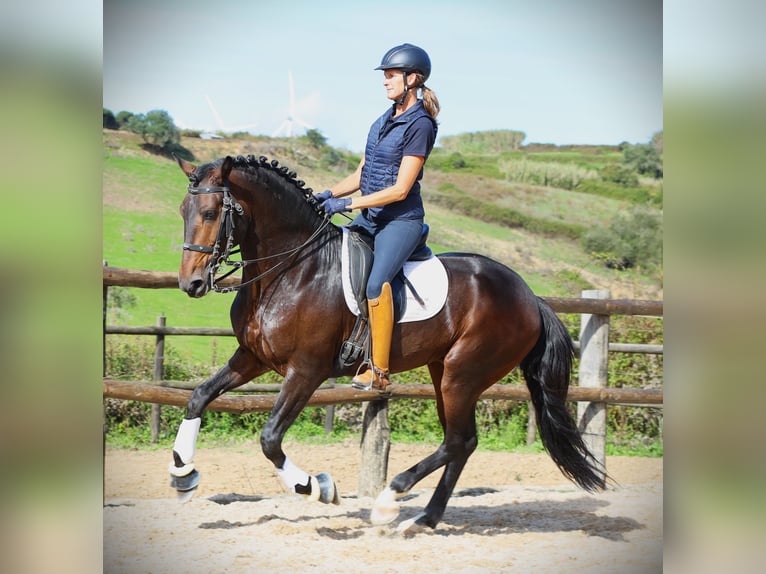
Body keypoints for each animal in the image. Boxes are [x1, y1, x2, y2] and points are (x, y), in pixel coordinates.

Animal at [168, 154, 608, 536]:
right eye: (183, 211)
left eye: (210, 214)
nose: (191, 284)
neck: (291, 270)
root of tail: (529, 296)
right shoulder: (252, 358)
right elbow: (199, 396)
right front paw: (183, 473)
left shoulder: (306, 371)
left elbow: (270, 438)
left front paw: (318, 487)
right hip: (443, 372)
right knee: (464, 442)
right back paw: (424, 519)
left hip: (462, 374)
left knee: (456, 441)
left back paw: (390, 500)